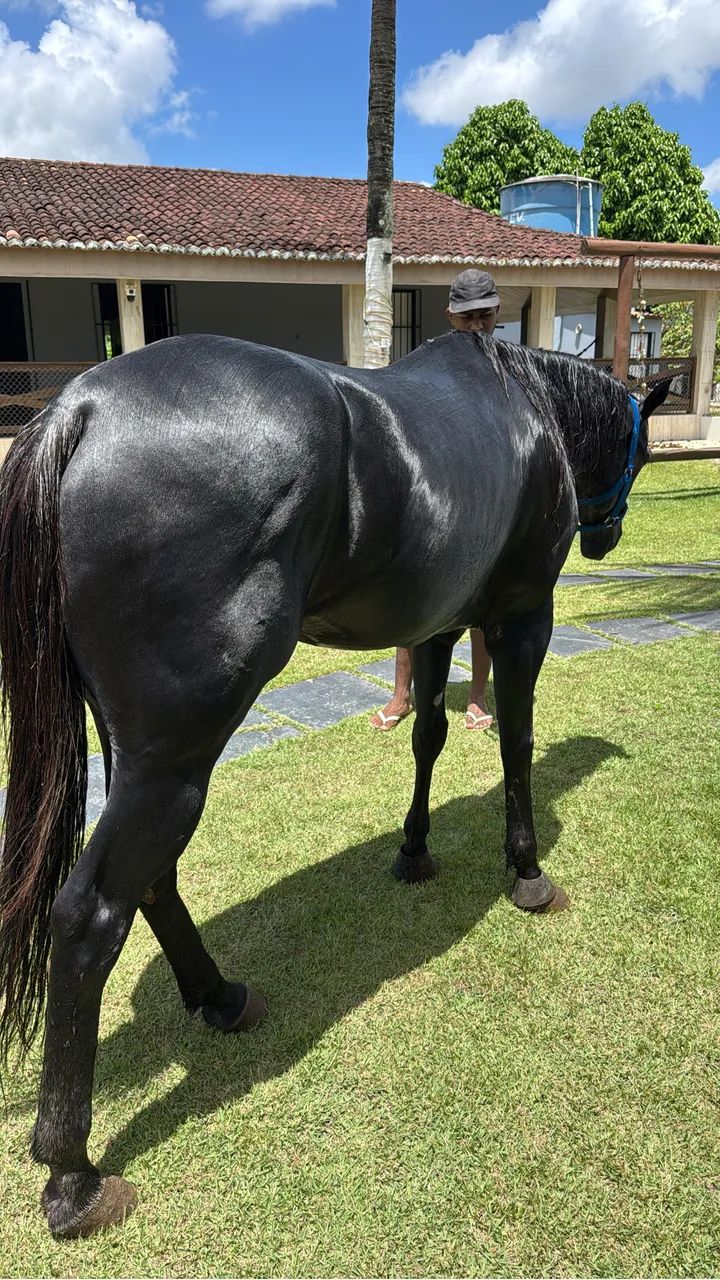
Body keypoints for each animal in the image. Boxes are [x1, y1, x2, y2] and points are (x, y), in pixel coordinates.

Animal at [0, 329, 670, 1237]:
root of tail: (82, 407)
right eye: (641, 448)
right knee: (90, 914)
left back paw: (219, 997)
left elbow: (427, 736)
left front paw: (415, 851)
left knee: (152, 880)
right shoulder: (523, 618)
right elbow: (517, 746)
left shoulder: (438, 625)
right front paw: (527, 871)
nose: (605, 537)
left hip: (136, 748)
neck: (528, 406)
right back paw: (72, 1172)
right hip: (176, 755)